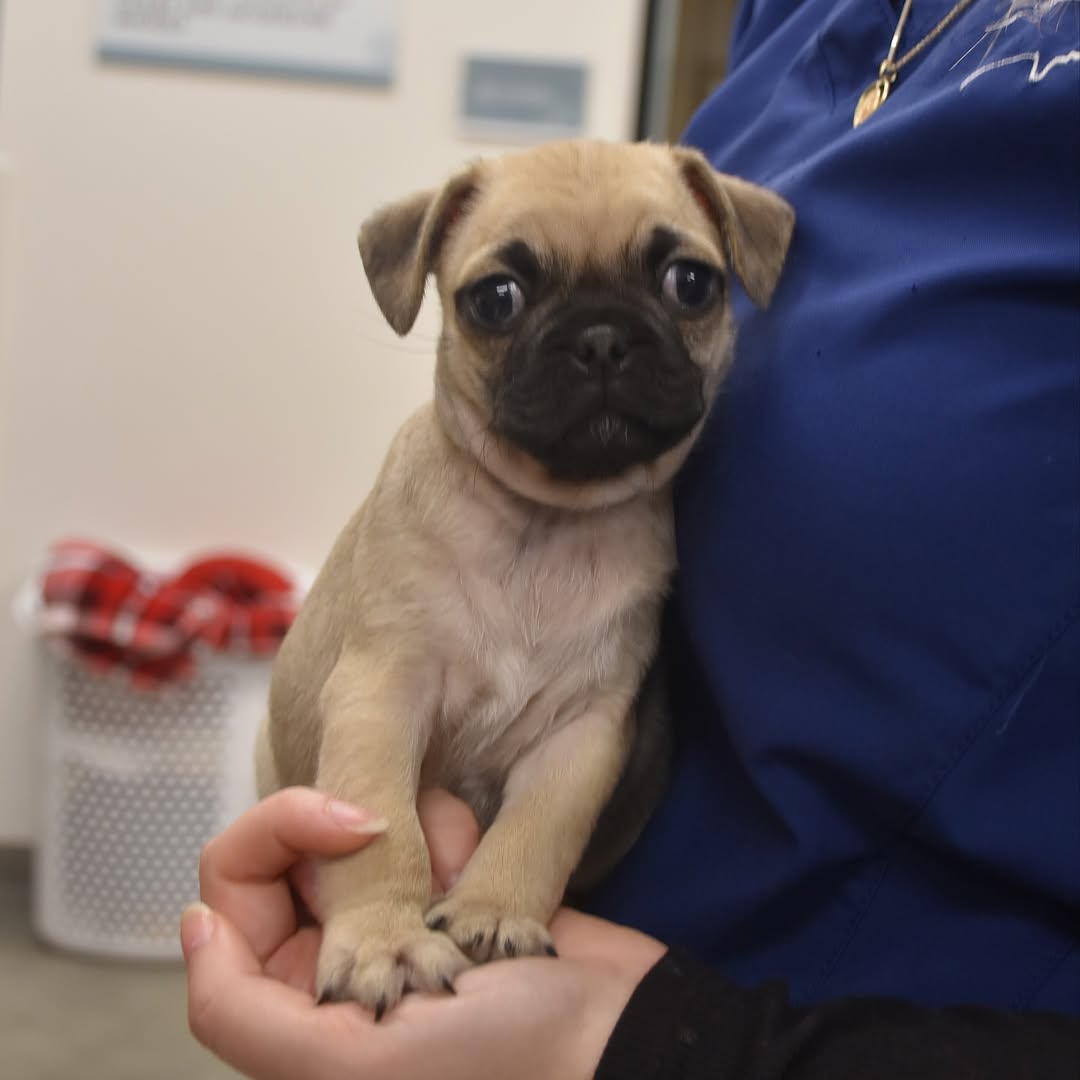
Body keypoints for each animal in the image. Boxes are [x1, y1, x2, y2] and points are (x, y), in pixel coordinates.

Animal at [253, 139, 794, 1015]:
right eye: (495, 299)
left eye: (690, 283)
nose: (602, 337)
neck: (544, 526)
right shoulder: (380, 698)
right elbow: (383, 831)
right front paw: (382, 940)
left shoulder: (582, 735)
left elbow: (537, 831)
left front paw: (492, 910)